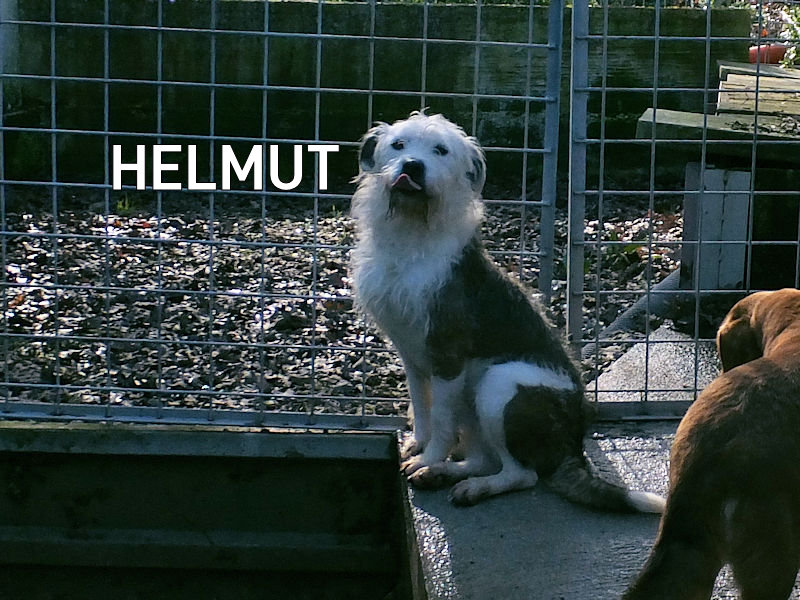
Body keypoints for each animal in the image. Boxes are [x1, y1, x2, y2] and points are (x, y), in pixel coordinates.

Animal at [349, 111, 665, 512]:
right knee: (486, 459)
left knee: (521, 474)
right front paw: (419, 447)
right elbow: (422, 408)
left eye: (440, 150)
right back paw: (446, 474)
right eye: (398, 145)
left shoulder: (447, 356)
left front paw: (429, 457)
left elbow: (441, 421)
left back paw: (467, 484)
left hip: (500, 383)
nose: (412, 166)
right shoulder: (411, 354)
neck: (412, 234)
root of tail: (572, 449)